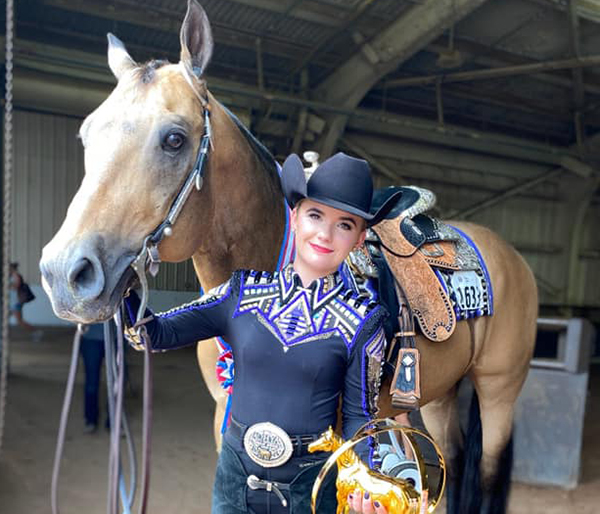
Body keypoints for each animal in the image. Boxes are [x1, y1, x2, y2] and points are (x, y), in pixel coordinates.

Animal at [39, 2, 536, 510]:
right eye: (86, 136)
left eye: (174, 139)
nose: (65, 274)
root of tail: (508, 256)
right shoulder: (225, 416)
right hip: (439, 394)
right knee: (451, 461)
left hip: (499, 389)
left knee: (487, 472)